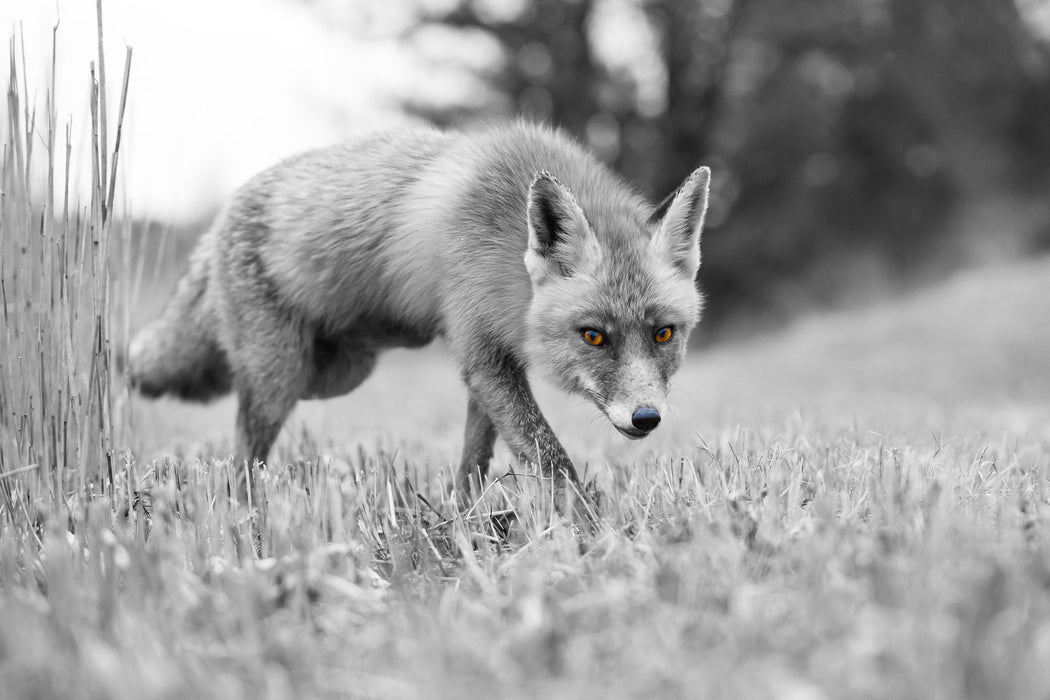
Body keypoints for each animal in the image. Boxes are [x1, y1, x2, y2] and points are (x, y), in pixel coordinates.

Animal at [127, 119, 709, 514]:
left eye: (663, 333)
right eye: (593, 336)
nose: (646, 418)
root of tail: (219, 218)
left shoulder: (490, 364)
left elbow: (476, 458)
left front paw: (465, 521)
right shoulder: (482, 354)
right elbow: (550, 459)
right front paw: (590, 528)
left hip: (334, 372)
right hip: (281, 379)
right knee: (242, 450)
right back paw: (241, 511)